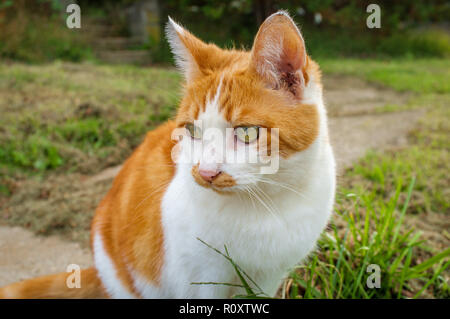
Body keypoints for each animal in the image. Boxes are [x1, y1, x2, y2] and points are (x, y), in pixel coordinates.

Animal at [0, 10, 336, 300]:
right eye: (192, 130)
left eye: (247, 133)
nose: (206, 173)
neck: (265, 204)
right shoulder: (198, 279)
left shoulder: (268, 278)